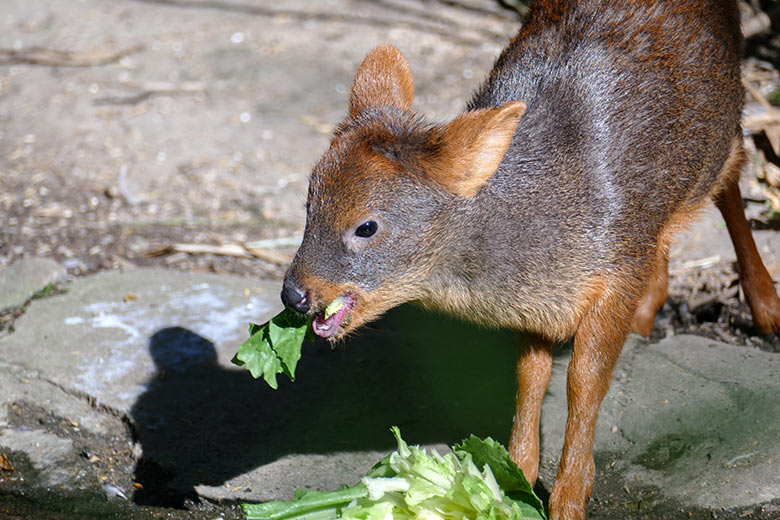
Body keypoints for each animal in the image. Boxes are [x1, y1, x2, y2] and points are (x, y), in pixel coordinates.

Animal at [280, 0, 780, 516]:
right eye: (309, 204)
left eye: (367, 226)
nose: (293, 294)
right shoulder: (547, 302)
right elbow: (530, 376)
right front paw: (514, 476)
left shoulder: (616, 269)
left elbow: (584, 380)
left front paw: (569, 497)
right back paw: (649, 312)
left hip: (720, 131)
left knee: (735, 175)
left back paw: (765, 307)